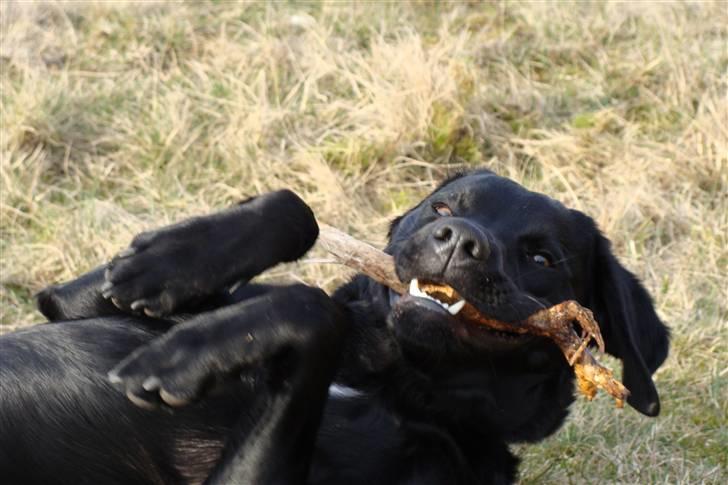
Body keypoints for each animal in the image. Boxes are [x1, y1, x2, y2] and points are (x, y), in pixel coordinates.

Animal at [1, 170, 672, 484]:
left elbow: (311, 308)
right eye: (443, 207)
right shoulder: (68, 303)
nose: (459, 240)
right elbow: (297, 212)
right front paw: (165, 261)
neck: (383, 377)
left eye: (542, 259)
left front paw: (181, 357)